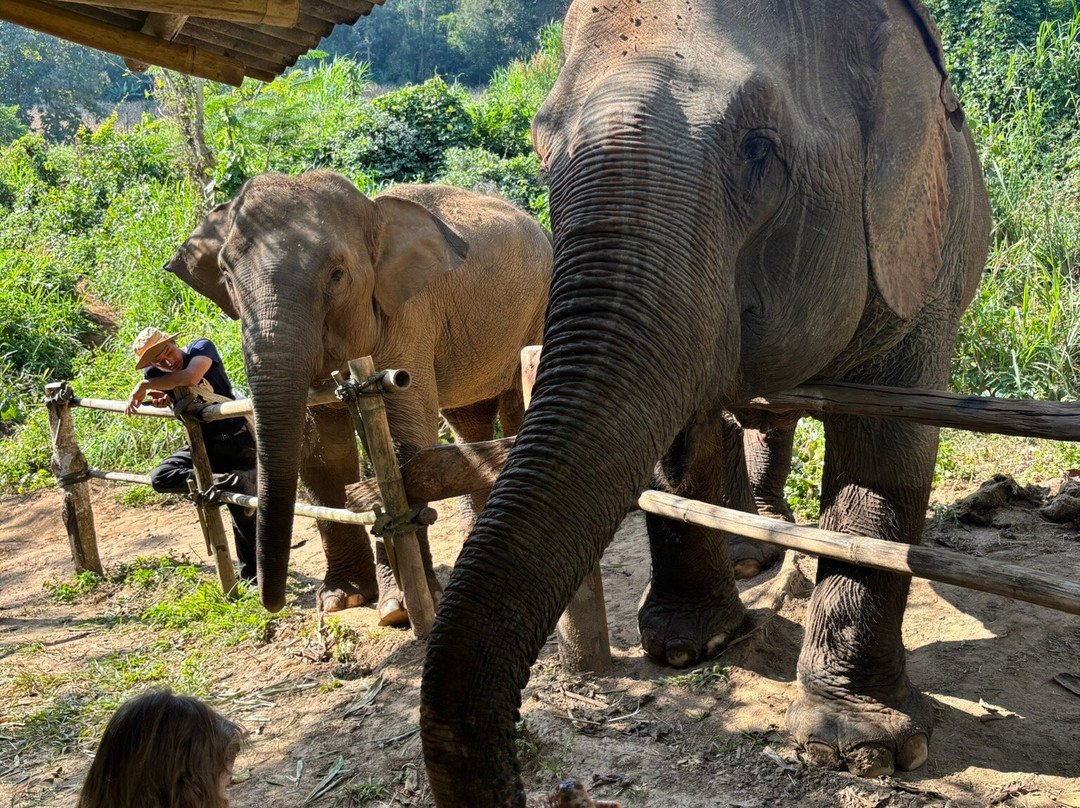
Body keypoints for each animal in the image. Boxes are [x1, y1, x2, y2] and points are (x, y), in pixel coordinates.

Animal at [164, 170, 553, 620]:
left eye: (337, 274)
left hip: (536, 310)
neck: (373, 210)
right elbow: (321, 451)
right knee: (468, 419)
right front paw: (341, 599)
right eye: (226, 277)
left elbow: (405, 438)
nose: (269, 601)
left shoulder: (409, 315)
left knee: (513, 406)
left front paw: (402, 608)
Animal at [419, 0, 992, 804]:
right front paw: (690, 649)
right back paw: (752, 559)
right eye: (540, 150)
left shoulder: (920, 258)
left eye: (758, 149)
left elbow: (885, 447)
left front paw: (860, 750)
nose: (549, 787)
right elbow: (678, 431)